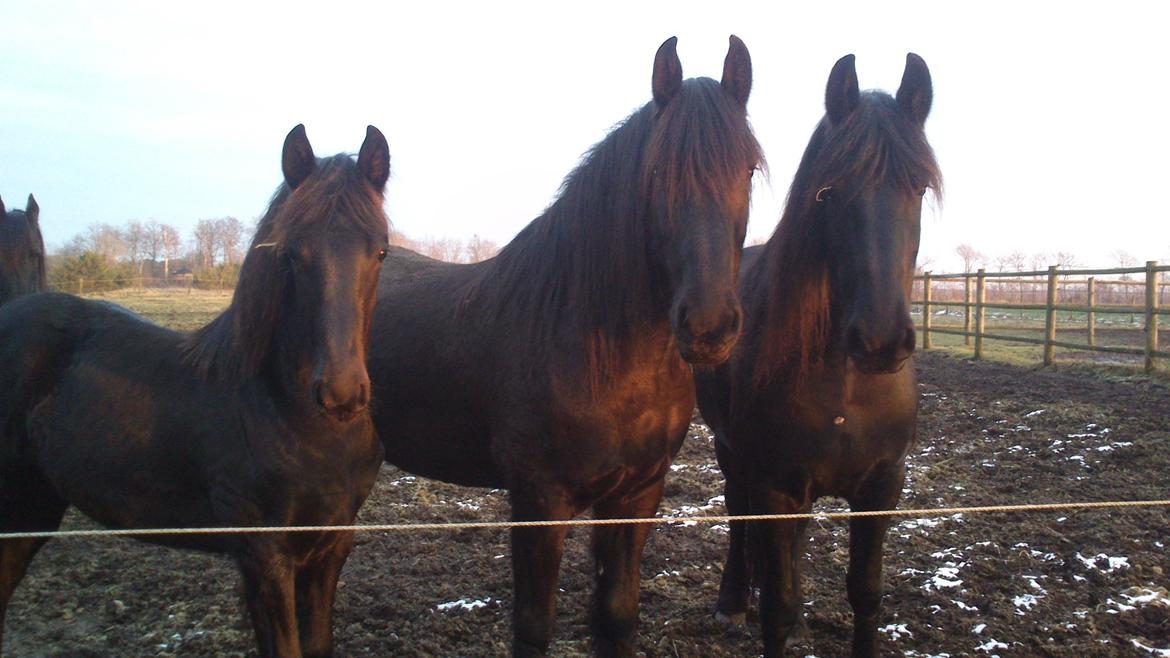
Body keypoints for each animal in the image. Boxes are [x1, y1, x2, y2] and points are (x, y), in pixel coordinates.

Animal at [0, 124, 393, 655]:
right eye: (292, 252)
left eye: (381, 251)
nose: (342, 394)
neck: (293, 418)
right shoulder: (263, 555)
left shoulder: (331, 546)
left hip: (35, 507)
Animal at [365, 37, 762, 655]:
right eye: (657, 172)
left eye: (747, 169)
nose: (708, 326)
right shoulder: (538, 500)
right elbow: (533, 625)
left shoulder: (636, 495)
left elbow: (618, 614)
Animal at [692, 53, 940, 650]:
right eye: (829, 190)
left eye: (920, 187)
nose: (880, 339)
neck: (847, 389)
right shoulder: (775, 487)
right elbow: (777, 608)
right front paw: (764, 609)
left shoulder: (881, 487)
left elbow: (866, 594)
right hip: (731, 451)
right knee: (736, 511)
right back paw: (732, 602)